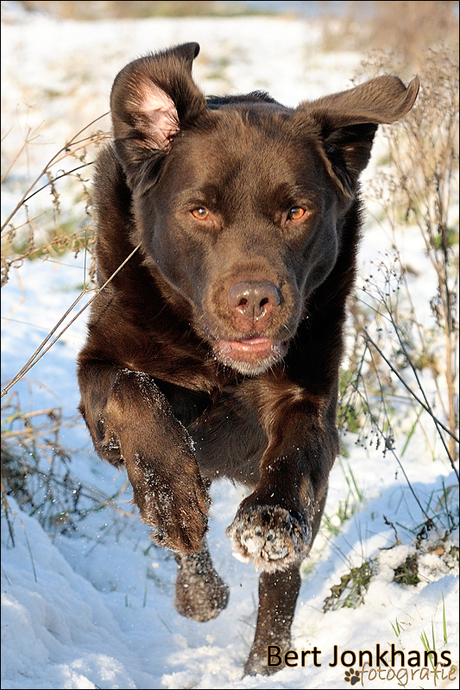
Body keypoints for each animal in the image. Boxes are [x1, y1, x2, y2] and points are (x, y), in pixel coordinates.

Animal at [77, 43, 418, 672]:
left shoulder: (311, 399)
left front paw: (268, 522)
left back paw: (265, 662)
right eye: (200, 211)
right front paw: (172, 499)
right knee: (190, 548)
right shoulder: (99, 380)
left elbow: (295, 455)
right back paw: (198, 585)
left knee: (281, 583)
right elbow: (133, 390)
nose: (255, 300)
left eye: (297, 212)